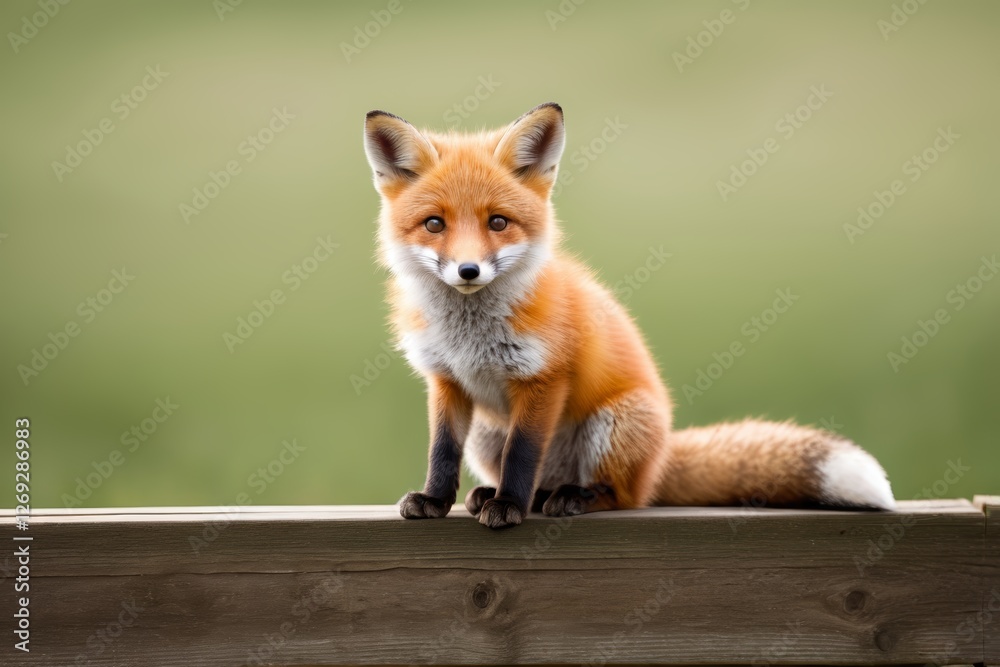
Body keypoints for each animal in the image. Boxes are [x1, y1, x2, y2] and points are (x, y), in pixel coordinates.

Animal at [363, 102, 895, 529]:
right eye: (435, 224)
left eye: (498, 222)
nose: (468, 270)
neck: (469, 336)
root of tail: (660, 459)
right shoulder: (446, 380)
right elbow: (442, 451)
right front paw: (436, 500)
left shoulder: (543, 379)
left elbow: (523, 454)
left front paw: (509, 507)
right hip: (488, 434)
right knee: (542, 483)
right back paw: (503, 494)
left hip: (614, 425)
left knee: (620, 496)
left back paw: (569, 498)